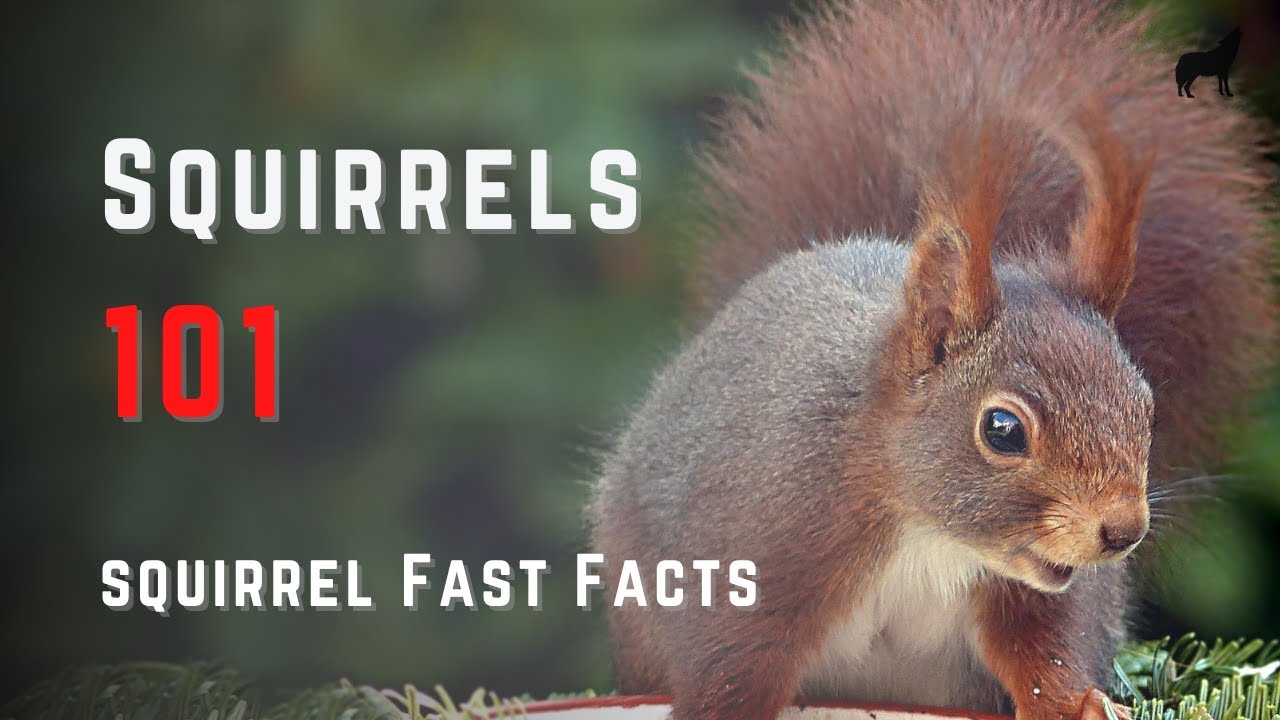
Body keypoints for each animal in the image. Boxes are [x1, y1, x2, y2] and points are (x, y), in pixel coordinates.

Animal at [589, 2, 1275, 720]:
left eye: (1146, 406)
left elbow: (1044, 651)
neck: (927, 532)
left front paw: (1077, 703)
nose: (1123, 531)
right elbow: (731, 665)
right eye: (1002, 430)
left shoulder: (1031, 591)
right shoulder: (763, 549)